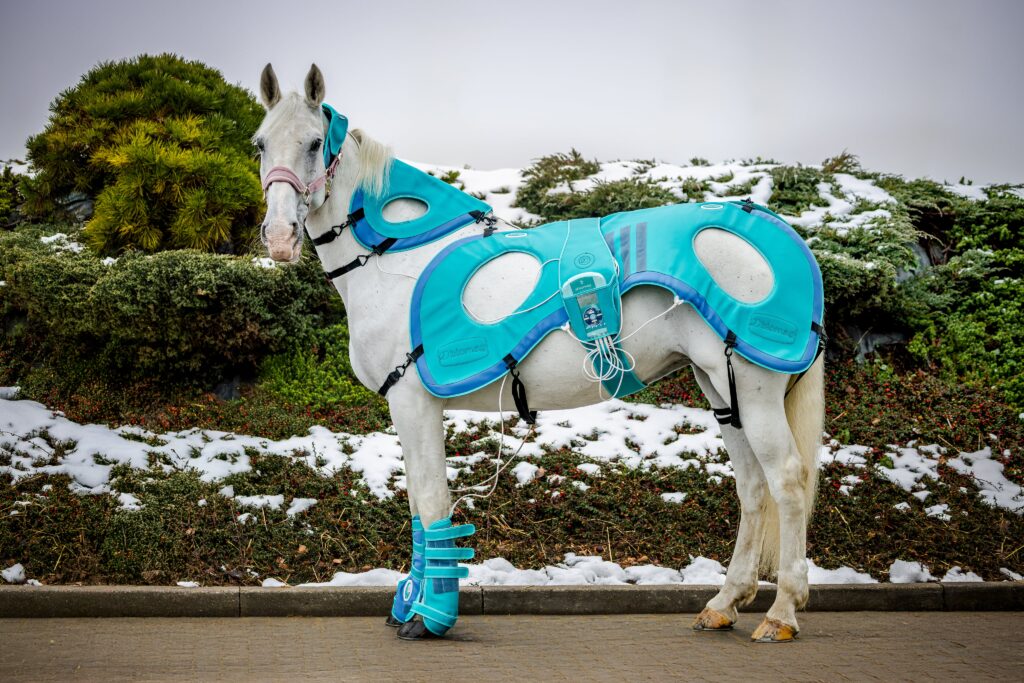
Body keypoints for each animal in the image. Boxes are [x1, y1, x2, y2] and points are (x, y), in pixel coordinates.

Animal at [254, 63, 825, 643]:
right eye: (260, 143)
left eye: (315, 142)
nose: (278, 237)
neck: (394, 260)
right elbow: (417, 503)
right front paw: (410, 605)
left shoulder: (413, 401)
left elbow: (431, 501)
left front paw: (428, 617)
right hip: (722, 386)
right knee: (752, 487)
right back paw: (725, 602)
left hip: (754, 388)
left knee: (787, 481)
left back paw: (782, 612)